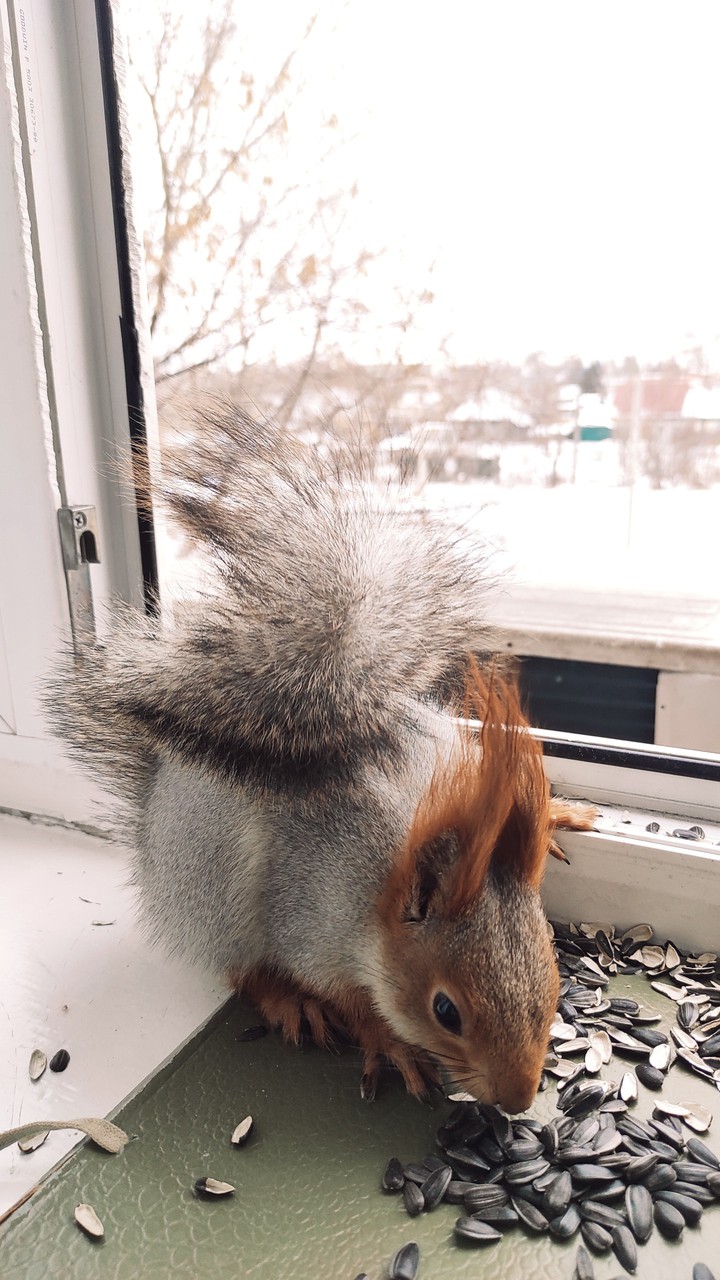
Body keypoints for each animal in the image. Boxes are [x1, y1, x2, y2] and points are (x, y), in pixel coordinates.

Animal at [47, 405, 594, 1113]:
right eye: (446, 1011)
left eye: (551, 971)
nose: (519, 1098)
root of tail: (153, 811)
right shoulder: (310, 916)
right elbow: (347, 995)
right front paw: (385, 1040)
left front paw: (556, 816)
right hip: (215, 884)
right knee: (240, 965)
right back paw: (287, 1002)